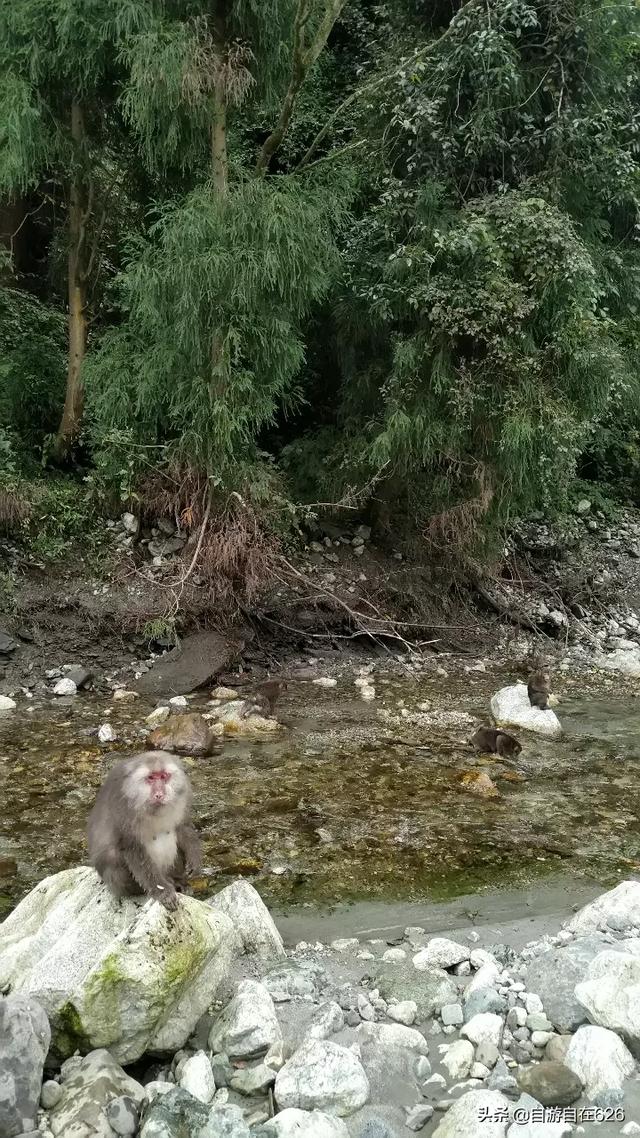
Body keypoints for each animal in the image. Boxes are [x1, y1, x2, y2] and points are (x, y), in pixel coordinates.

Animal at [85, 751, 199, 910]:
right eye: (151, 778)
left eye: (163, 776)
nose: (159, 794)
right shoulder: (123, 806)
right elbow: (133, 848)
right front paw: (163, 892)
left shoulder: (182, 797)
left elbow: (182, 827)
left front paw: (194, 858)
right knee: (111, 855)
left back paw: (178, 881)